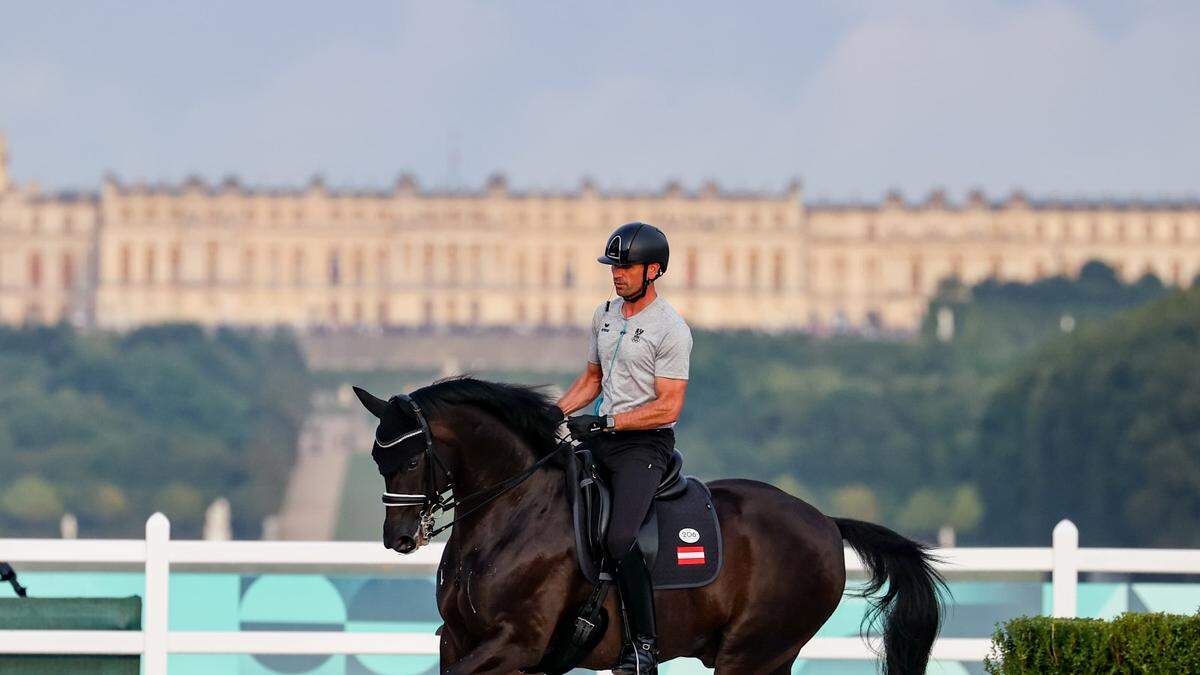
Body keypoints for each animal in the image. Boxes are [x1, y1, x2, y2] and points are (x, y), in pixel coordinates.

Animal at [355, 374, 945, 667]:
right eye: (377, 457)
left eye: (410, 457)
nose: (398, 538)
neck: (512, 514)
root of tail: (824, 522)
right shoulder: (457, 639)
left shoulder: (515, 644)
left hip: (751, 655)